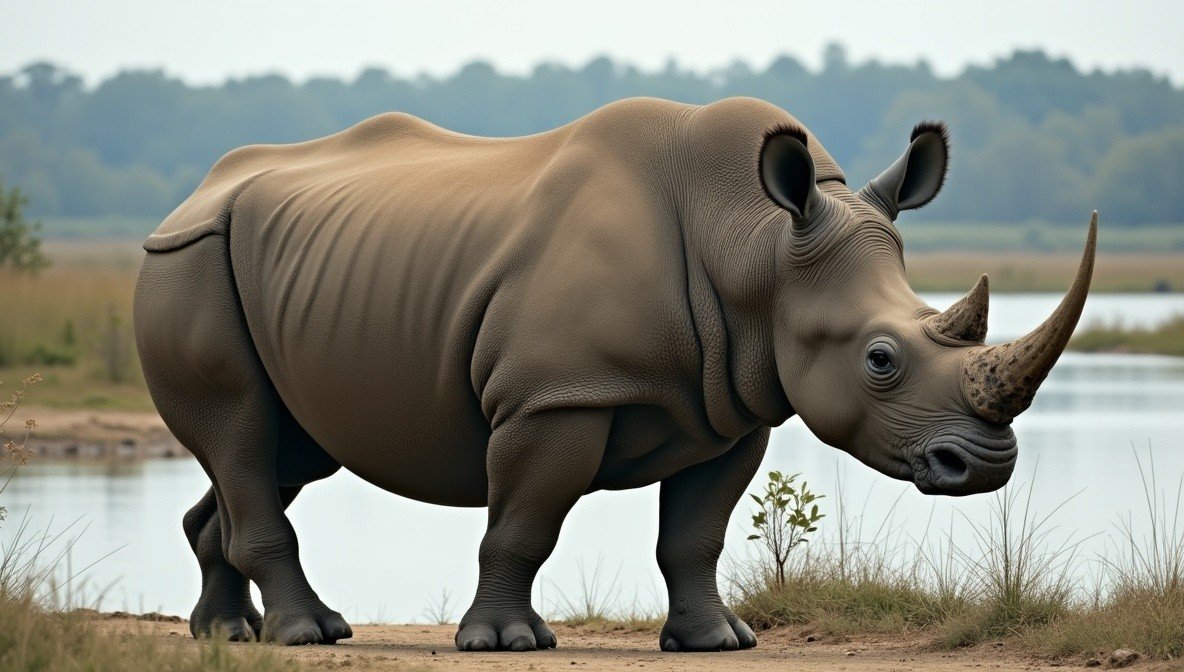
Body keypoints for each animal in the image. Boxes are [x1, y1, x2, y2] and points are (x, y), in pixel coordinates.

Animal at [134, 96, 1096, 652]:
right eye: (881, 360)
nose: (986, 467)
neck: (757, 246)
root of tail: (186, 197)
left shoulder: (736, 406)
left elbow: (696, 534)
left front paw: (719, 641)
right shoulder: (555, 397)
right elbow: (524, 522)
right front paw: (506, 642)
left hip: (295, 271)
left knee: (284, 451)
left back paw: (231, 632)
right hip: (187, 261)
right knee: (242, 432)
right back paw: (306, 636)